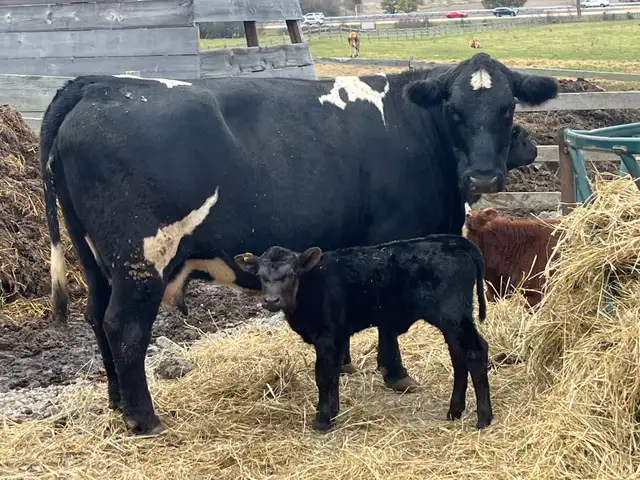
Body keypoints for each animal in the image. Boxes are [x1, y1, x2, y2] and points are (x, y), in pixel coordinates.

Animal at [234, 235, 491, 431]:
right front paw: (334, 412)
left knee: (475, 352)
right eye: (261, 276)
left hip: (453, 315)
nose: (271, 301)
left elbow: (323, 375)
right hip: (451, 322)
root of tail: (456, 241)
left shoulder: (326, 336)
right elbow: (334, 374)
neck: (309, 286)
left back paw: (483, 418)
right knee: (458, 356)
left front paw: (322, 420)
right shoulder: (338, 336)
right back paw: (455, 411)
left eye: (291, 273)